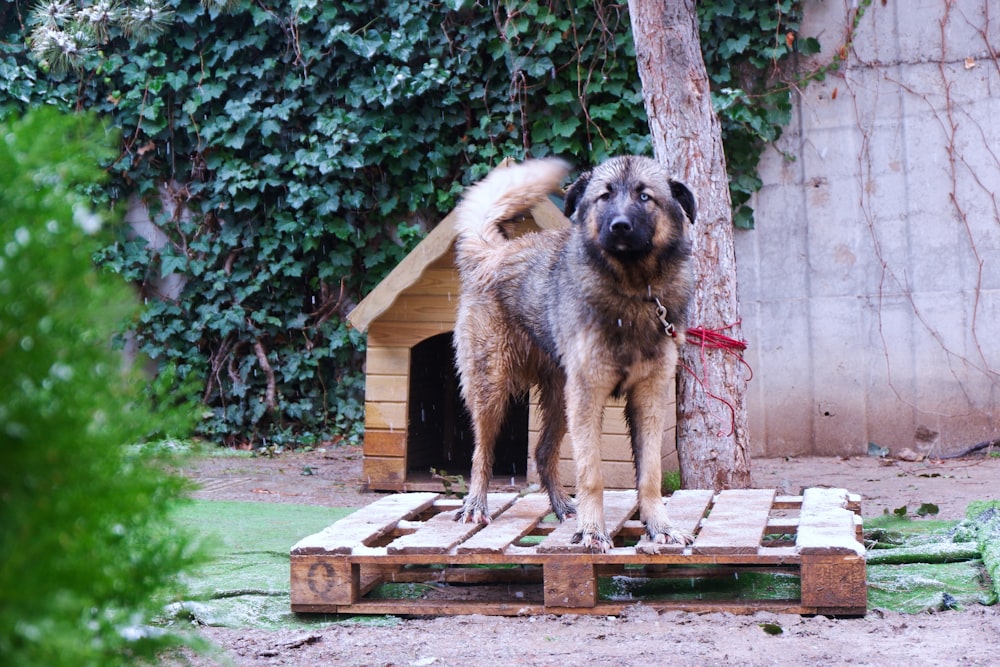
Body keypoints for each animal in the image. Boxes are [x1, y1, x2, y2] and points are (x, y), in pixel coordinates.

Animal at [452, 157, 696, 552]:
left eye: (645, 196)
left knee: (541, 452)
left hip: (559, 400)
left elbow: (650, 475)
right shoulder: (588, 395)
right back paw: (476, 505)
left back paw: (564, 508)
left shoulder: (649, 396)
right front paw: (593, 531)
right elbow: (591, 473)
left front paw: (660, 527)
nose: (620, 226)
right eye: (604, 196)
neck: (632, 293)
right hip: (492, 390)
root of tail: (495, 253)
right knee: (481, 454)